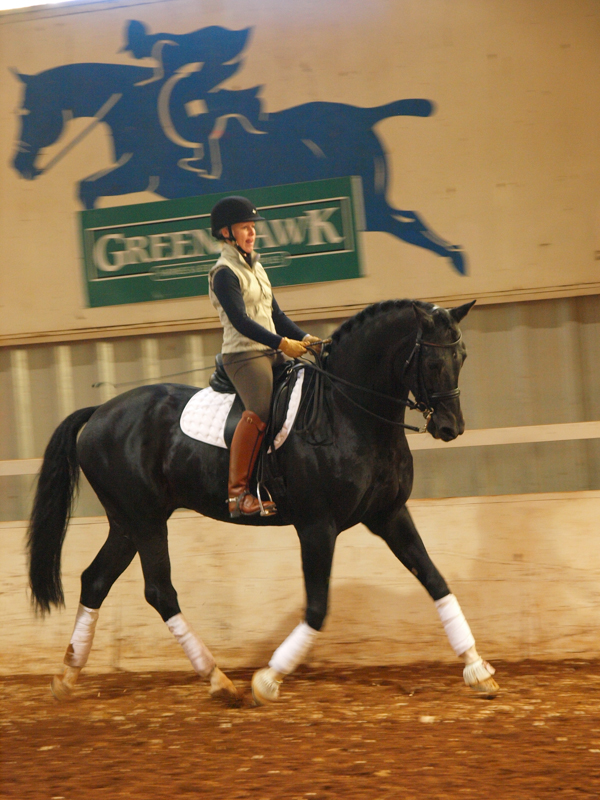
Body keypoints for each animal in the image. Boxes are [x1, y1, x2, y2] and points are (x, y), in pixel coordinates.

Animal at [12, 62, 466, 273]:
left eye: (29, 111)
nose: (19, 165)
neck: (131, 106)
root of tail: (364, 114)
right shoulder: (137, 176)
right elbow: (87, 189)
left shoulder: (140, 173)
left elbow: (88, 188)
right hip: (373, 206)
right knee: (409, 220)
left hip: (369, 207)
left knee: (409, 222)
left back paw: (457, 261)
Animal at [27, 299, 498, 704]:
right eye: (433, 362)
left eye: (463, 357)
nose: (450, 428)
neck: (349, 412)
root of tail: (99, 412)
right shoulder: (317, 526)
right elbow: (317, 607)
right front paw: (268, 680)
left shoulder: (389, 515)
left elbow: (436, 582)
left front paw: (477, 670)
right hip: (145, 522)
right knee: (159, 591)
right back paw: (219, 681)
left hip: (128, 524)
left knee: (95, 581)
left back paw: (67, 676)